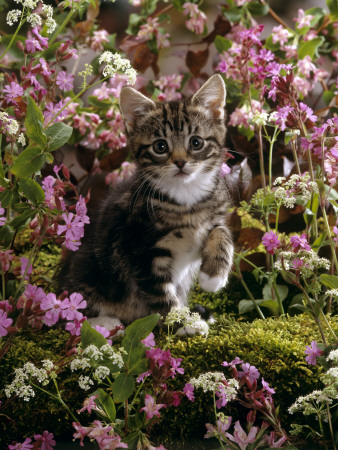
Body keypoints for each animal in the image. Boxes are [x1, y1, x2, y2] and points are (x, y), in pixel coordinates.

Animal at [58, 75, 232, 328]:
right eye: (160, 146)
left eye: (196, 142)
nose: (180, 162)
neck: (186, 201)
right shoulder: (140, 252)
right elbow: (160, 293)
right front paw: (180, 323)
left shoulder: (214, 212)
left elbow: (222, 232)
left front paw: (214, 276)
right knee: (72, 313)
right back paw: (106, 323)